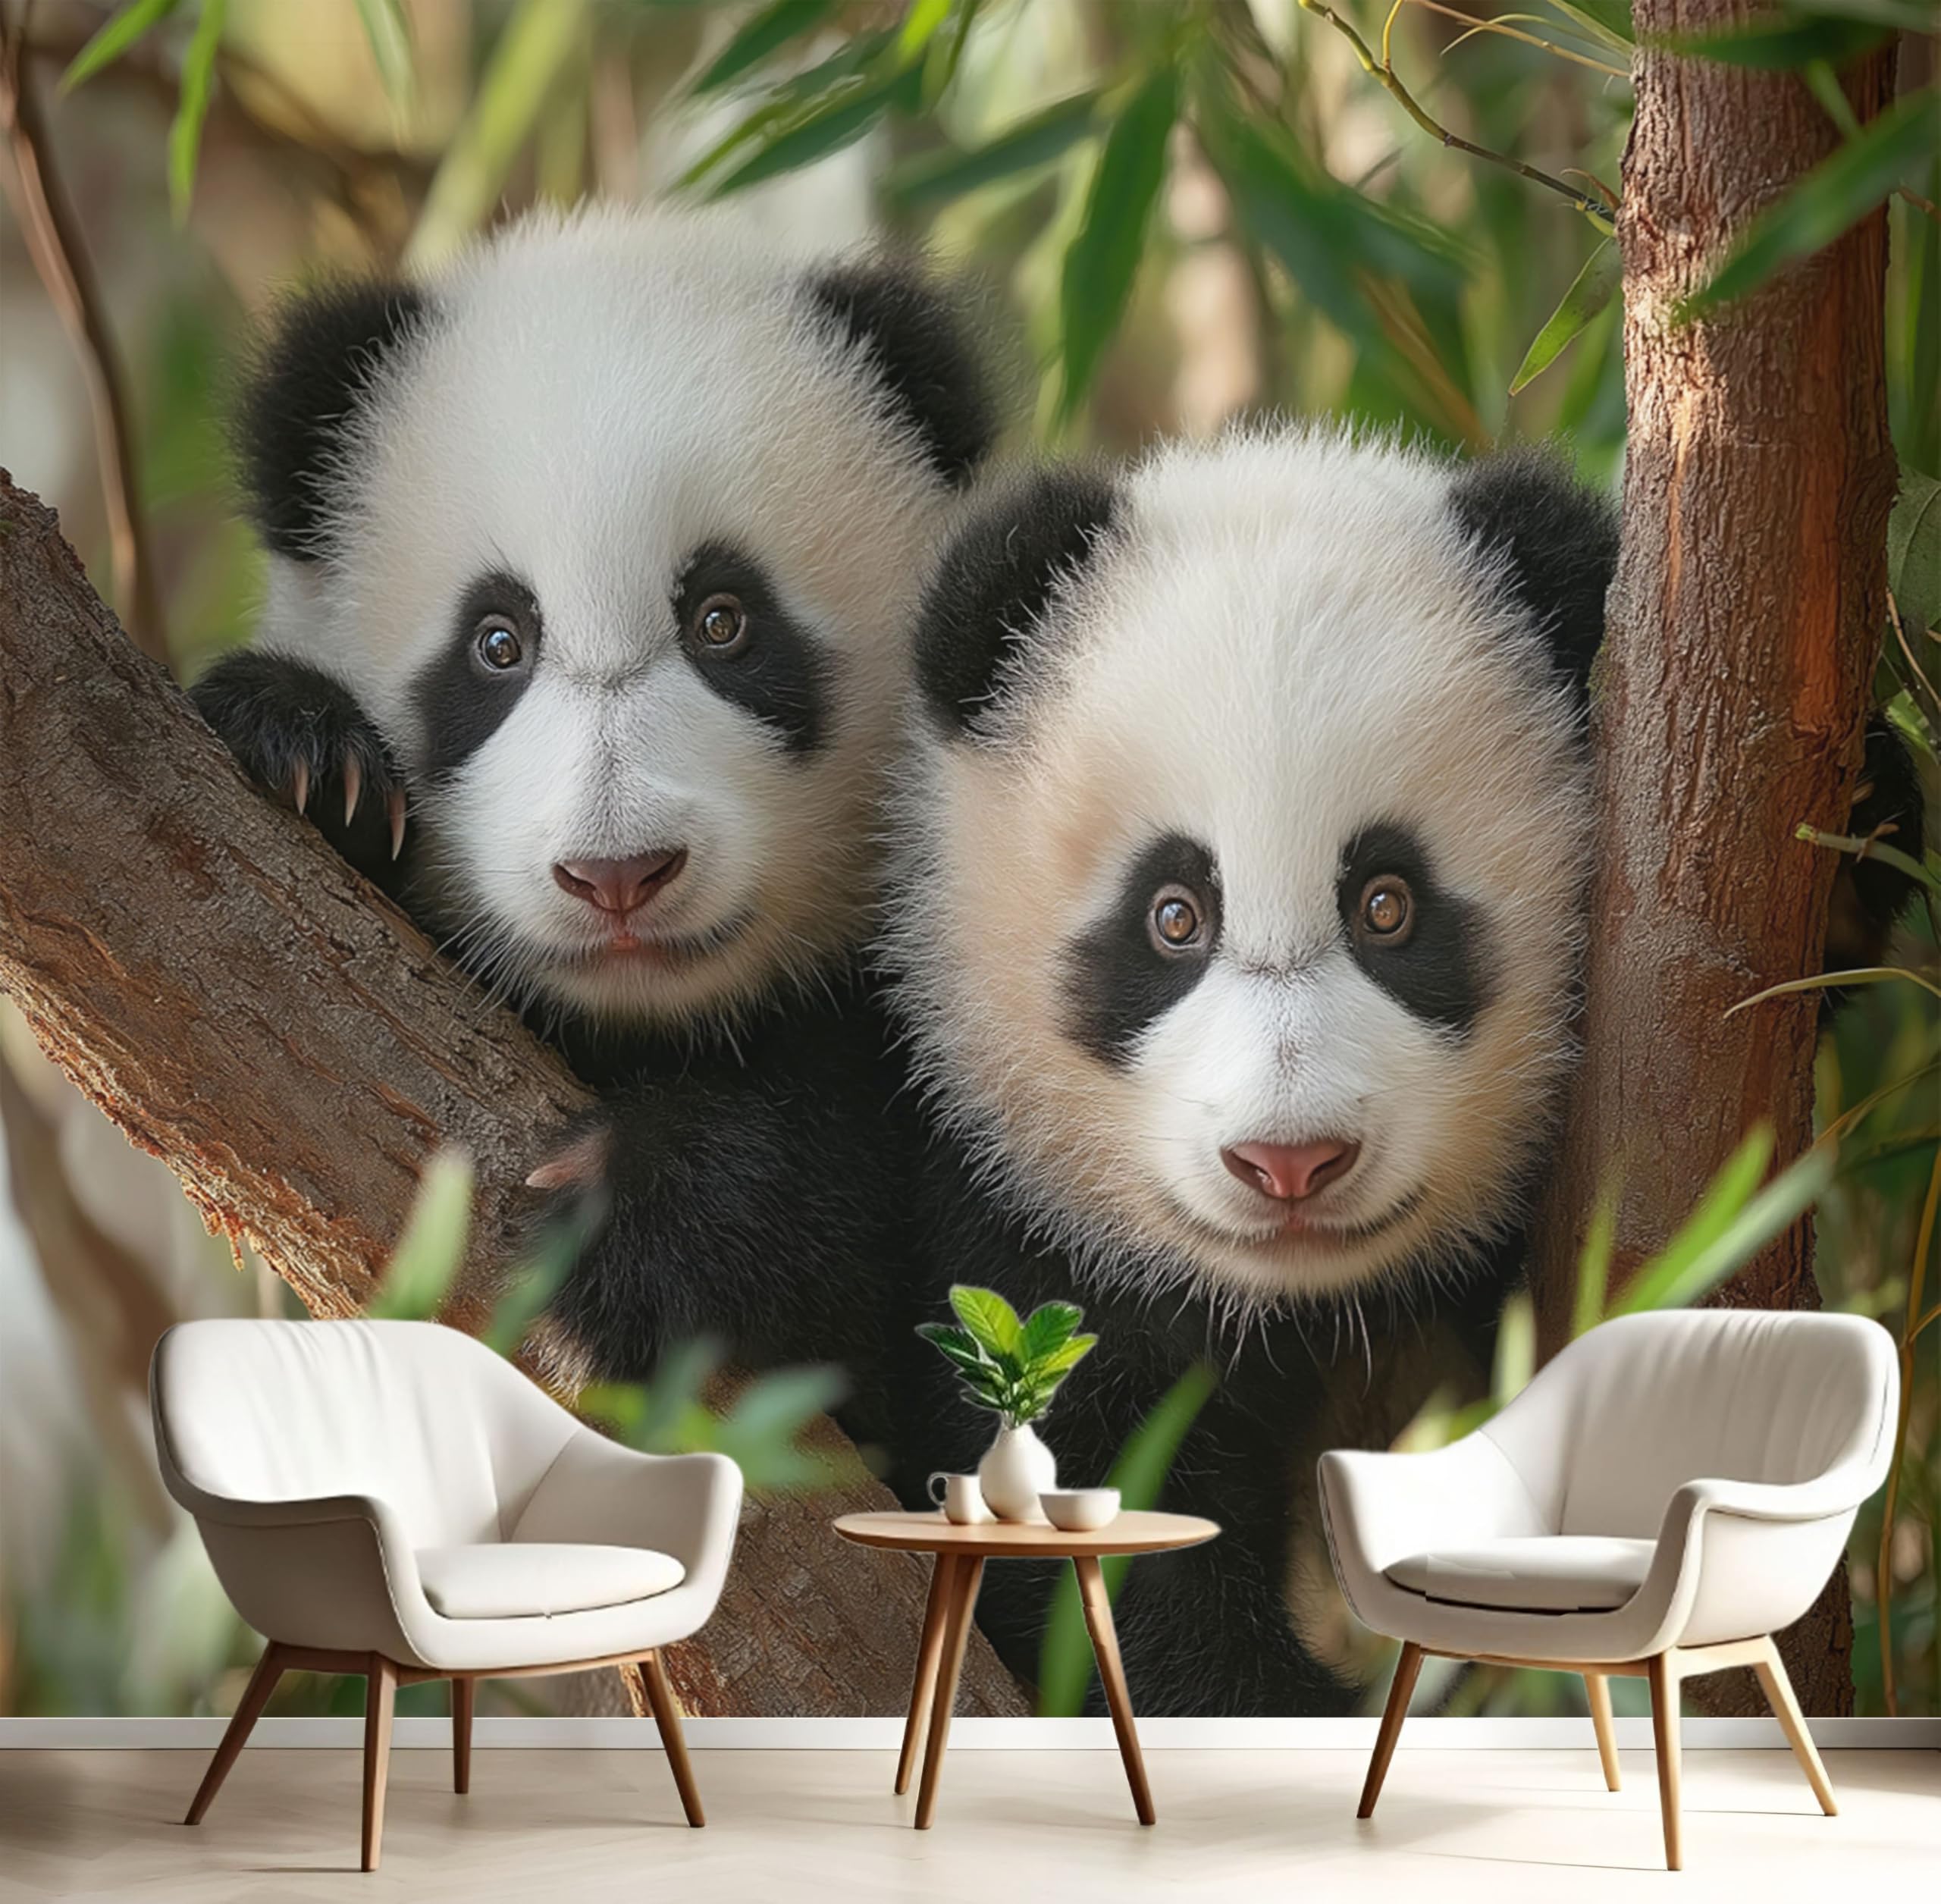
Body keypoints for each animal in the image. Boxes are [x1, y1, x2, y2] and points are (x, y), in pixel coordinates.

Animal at [191, 206, 994, 1416]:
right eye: (496, 642)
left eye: (723, 620)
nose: (619, 875)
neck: (643, 1021)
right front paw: (308, 759)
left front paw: (635, 1232)